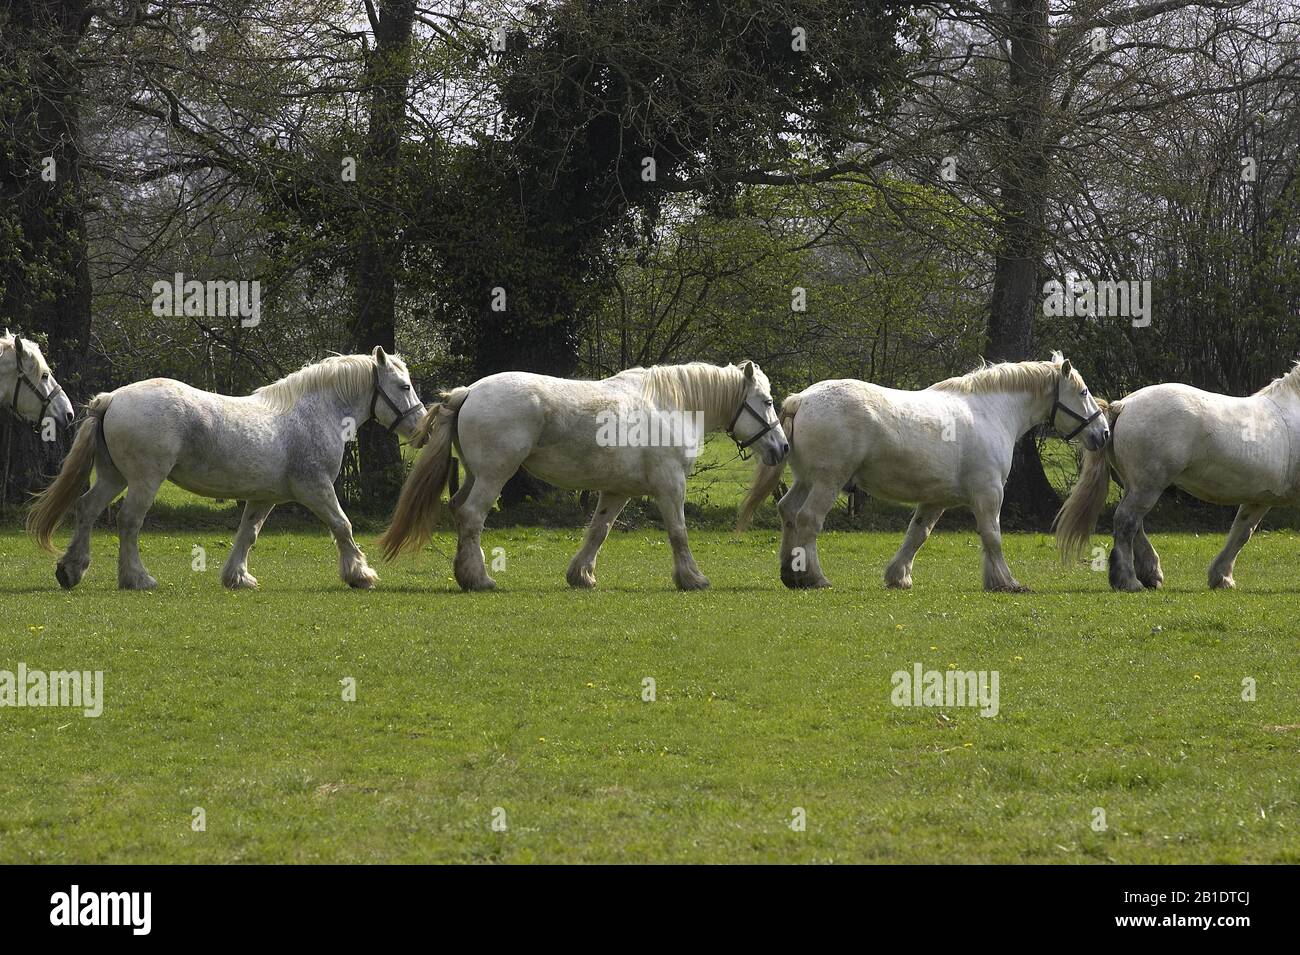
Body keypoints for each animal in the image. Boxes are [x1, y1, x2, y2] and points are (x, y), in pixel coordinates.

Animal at [27, 347, 425, 591]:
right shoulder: (316, 489)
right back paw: (137, 578)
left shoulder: (264, 498)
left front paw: (237, 577)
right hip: (144, 481)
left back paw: (71, 569)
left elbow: (247, 535)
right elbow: (343, 526)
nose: (421, 428)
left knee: (87, 509)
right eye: (403, 385)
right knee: (129, 522)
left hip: (114, 478)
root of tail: (111, 399)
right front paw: (360, 574)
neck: (315, 413)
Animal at [378, 361, 788, 591]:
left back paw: (466, 573)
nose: (782, 447)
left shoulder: (617, 492)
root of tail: (468, 392)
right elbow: (678, 533)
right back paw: (478, 579)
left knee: (460, 511)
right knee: (472, 516)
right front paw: (692, 578)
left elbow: (598, 531)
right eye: (768, 402)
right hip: (495, 475)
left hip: (474, 476)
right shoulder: (670, 486)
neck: (669, 406)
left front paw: (581, 576)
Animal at [736, 353, 1108, 592]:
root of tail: (802, 399)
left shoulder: (935, 500)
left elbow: (917, 535)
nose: (1103, 433)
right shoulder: (988, 493)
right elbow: (993, 536)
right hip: (828, 481)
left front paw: (898, 576)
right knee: (808, 520)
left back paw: (791, 574)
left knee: (787, 511)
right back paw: (814, 578)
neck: (990, 411)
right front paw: (1006, 581)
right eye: (1084, 392)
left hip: (806, 479)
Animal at [1056, 363, 1300, 591]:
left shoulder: (1258, 499)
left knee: (1135, 525)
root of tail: (1124, 405)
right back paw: (1129, 580)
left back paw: (1151, 573)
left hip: (1135, 486)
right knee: (1127, 522)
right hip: (1148, 486)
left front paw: (1221, 577)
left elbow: (1241, 533)